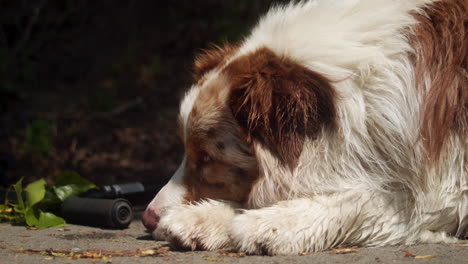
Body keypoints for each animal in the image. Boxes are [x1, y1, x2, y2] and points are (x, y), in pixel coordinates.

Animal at [144, 0, 468, 255]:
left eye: (207, 159)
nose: (147, 218)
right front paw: (202, 219)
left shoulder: (447, 185)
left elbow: (377, 197)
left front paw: (272, 223)